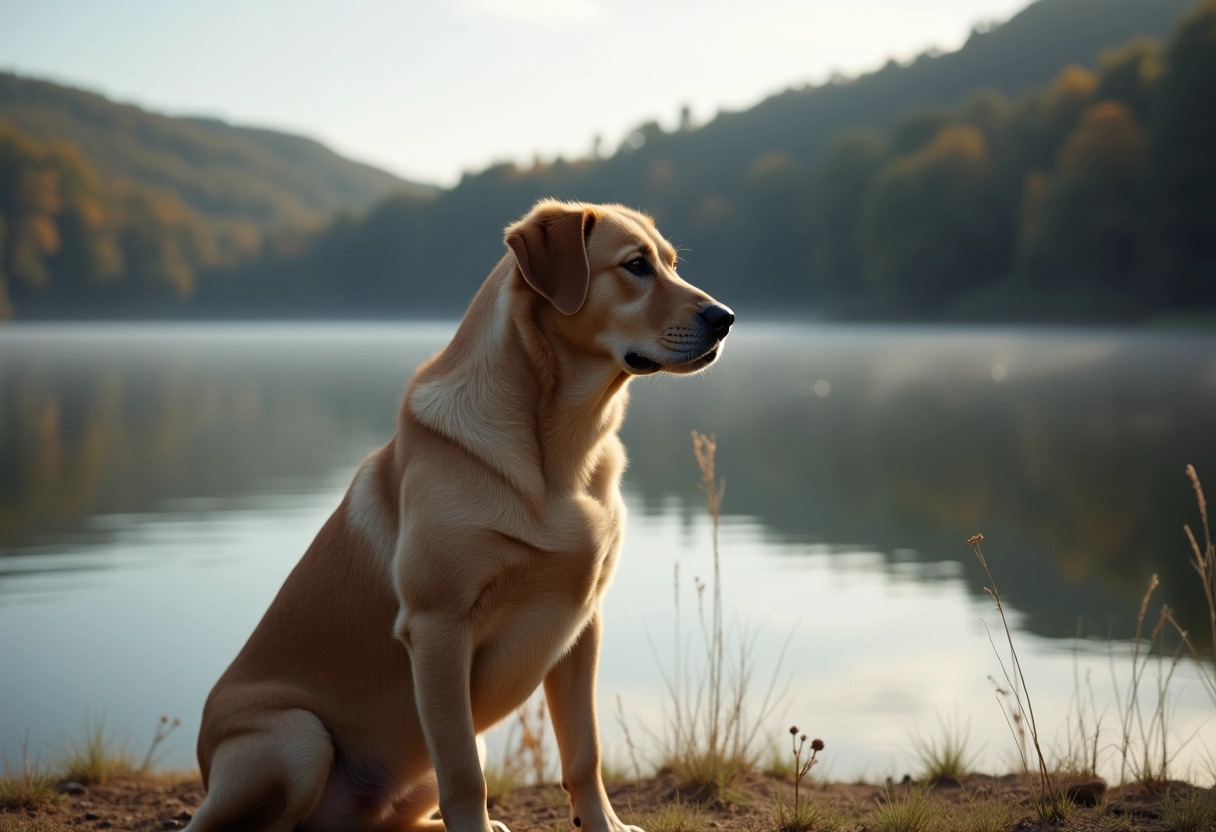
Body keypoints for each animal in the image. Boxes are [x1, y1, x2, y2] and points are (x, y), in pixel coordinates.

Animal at [188, 199, 734, 832]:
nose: (726, 317)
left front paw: (604, 825)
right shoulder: (439, 627)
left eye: (671, 263)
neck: (562, 453)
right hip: (297, 740)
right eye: (635, 265)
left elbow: (585, 752)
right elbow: (464, 774)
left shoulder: (584, 625)